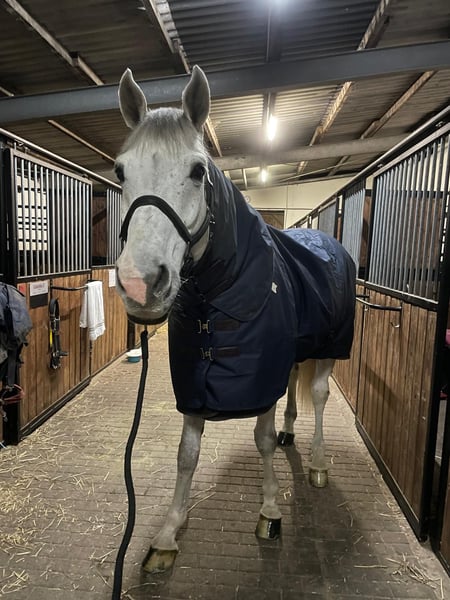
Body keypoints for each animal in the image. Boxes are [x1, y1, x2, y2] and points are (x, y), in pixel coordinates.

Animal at [115, 65, 356, 573]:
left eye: (197, 171)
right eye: (120, 170)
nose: (139, 283)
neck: (214, 295)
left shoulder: (259, 376)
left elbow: (261, 439)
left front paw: (269, 510)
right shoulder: (194, 382)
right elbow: (186, 454)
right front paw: (168, 534)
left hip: (329, 349)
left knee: (319, 396)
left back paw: (319, 463)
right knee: (293, 391)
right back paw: (291, 433)